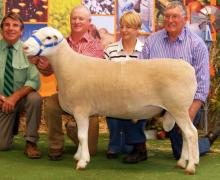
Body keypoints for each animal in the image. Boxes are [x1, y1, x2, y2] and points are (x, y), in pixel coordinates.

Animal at [23, 26, 199, 174]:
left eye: (48, 37)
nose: (25, 47)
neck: (68, 66)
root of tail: (189, 68)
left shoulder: (81, 109)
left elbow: (81, 136)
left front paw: (82, 162)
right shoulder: (79, 111)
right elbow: (81, 136)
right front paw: (79, 155)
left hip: (178, 107)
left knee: (191, 133)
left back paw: (190, 167)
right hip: (177, 110)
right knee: (185, 134)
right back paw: (182, 162)